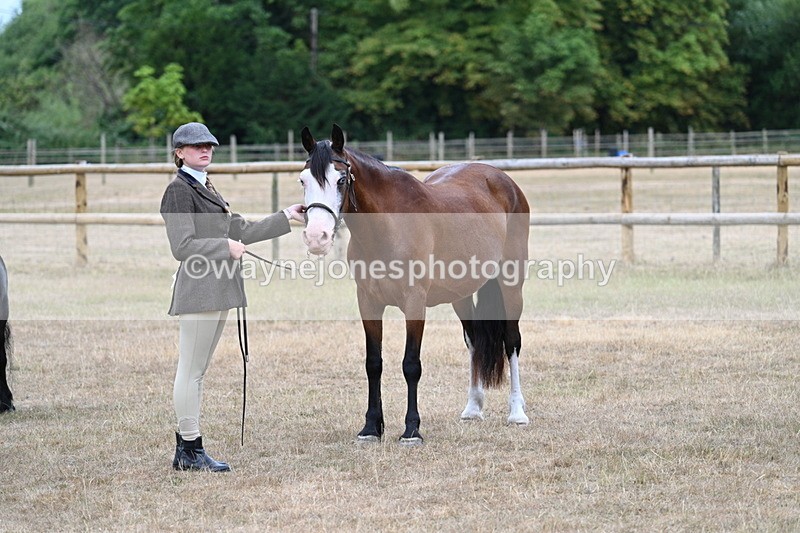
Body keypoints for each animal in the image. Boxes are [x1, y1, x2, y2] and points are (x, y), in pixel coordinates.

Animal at [299, 124, 530, 444]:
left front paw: (412, 430)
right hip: (461, 294)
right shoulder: (368, 303)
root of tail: (503, 180)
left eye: (341, 179)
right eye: (303, 180)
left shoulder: (414, 303)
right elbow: (373, 363)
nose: (316, 237)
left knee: (511, 341)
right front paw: (371, 427)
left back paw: (517, 413)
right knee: (473, 340)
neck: (388, 226)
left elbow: (411, 364)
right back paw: (473, 407)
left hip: (511, 284)